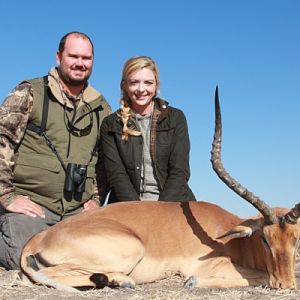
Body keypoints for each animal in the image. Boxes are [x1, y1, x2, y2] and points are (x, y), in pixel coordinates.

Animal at [21, 88, 300, 292]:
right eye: (265, 238)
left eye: (296, 239)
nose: (285, 284)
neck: (230, 237)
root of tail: (39, 239)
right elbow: (258, 276)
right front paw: (192, 282)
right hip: (130, 249)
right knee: (48, 273)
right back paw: (122, 280)